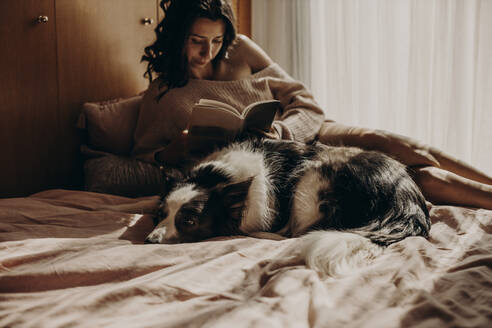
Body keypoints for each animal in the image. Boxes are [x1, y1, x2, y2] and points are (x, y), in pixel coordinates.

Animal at [144, 137, 428, 250]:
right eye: (158, 215)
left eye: (188, 221)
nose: (148, 241)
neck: (220, 176)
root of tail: (405, 198)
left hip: (310, 180)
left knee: (296, 233)